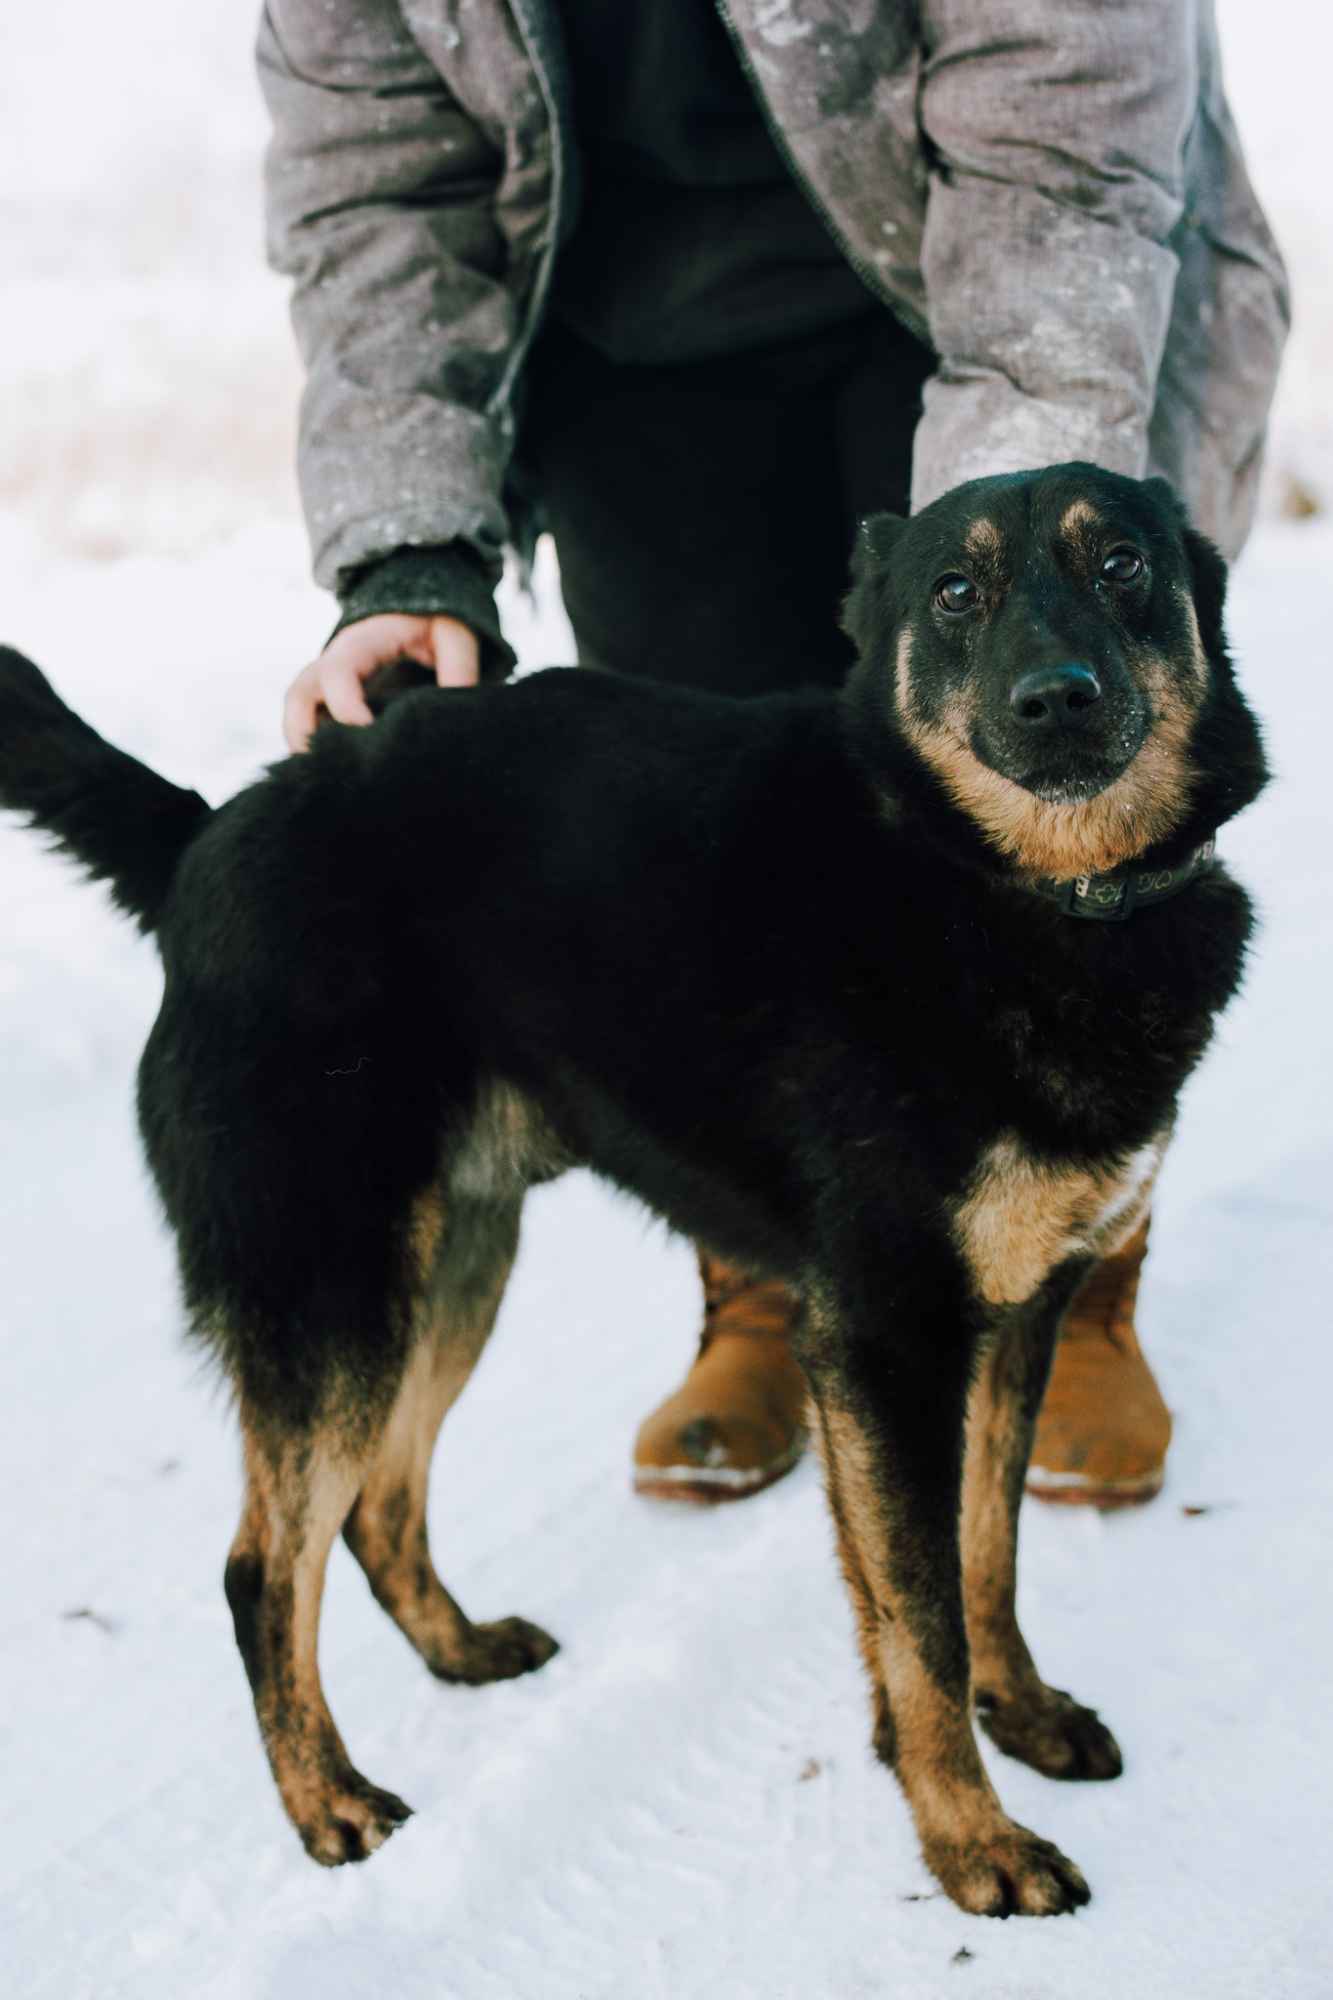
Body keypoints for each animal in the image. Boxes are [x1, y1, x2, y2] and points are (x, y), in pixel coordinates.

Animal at [0, 460, 1264, 1912]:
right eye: (956, 590)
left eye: (1122, 565)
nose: (1057, 696)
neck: (1005, 888)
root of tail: (205, 839)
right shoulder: (886, 1341)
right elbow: (926, 1615)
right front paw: (971, 1840)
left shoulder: (1016, 1317)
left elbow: (985, 1554)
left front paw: (1024, 1715)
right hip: (333, 1287)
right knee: (263, 1566)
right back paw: (329, 1802)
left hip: (451, 1266)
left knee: (378, 1507)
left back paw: (460, 1650)